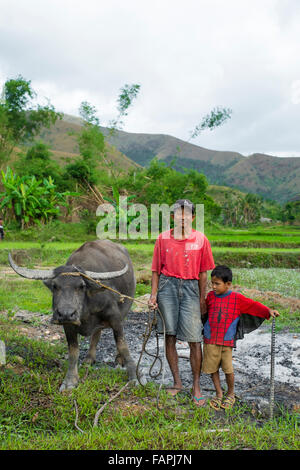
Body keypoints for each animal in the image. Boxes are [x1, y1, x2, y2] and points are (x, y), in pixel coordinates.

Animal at [8, 241, 137, 392]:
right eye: (55, 286)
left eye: (81, 286)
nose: (66, 314)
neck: (85, 310)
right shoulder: (68, 325)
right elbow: (73, 351)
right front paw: (70, 381)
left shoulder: (115, 317)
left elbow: (122, 344)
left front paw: (134, 377)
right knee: (96, 333)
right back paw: (89, 359)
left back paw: (118, 359)